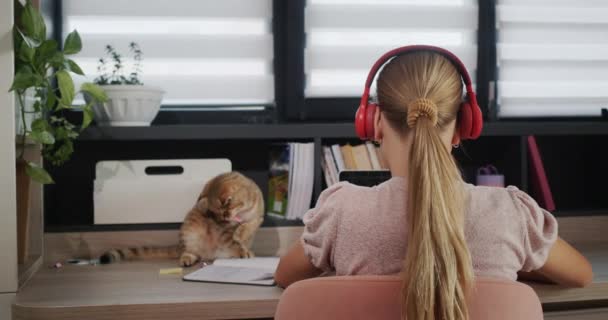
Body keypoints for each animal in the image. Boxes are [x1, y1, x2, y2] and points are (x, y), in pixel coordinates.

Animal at [98, 171, 262, 266]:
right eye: (217, 214)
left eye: (224, 211)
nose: (225, 218)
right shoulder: (225, 231)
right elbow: (235, 241)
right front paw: (243, 247)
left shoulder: (257, 217)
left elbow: (250, 225)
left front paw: (242, 234)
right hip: (190, 231)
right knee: (190, 252)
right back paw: (187, 259)